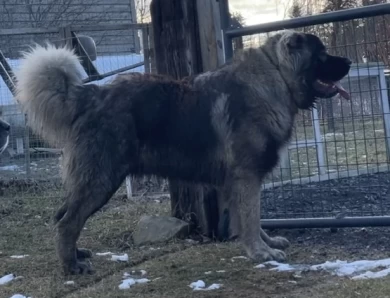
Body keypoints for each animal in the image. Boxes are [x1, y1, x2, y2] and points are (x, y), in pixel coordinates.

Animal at [14, 30, 350, 274]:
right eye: (322, 55)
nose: (347, 61)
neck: (276, 76)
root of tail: (91, 94)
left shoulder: (237, 183)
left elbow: (250, 218)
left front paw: (264, 244)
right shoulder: (247, 178)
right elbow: (252, 217)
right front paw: (261, 252)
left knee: (63, 216)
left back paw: (76, 255)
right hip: (101, 180)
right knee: (67, 222)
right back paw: (72, 266)